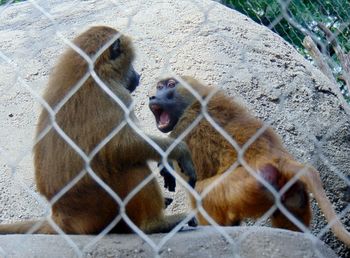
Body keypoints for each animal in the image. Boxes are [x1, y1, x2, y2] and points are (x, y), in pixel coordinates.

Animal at [0, 27, 197, 235]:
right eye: (130, 64)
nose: (137, 76)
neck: (92, 69)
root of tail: (62, 216)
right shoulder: (117, 94)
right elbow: (121, 147)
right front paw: (178, 151)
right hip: (98, 210)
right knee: (131, 163)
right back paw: (154, 224)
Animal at [148, 75, 350, 246]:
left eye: (171, 85)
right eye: (159, 86)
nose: (153, 96)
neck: (195, 100)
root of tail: (279, 158)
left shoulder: (183, 127)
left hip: (251, 181)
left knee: (201, 191)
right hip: (290, 189)